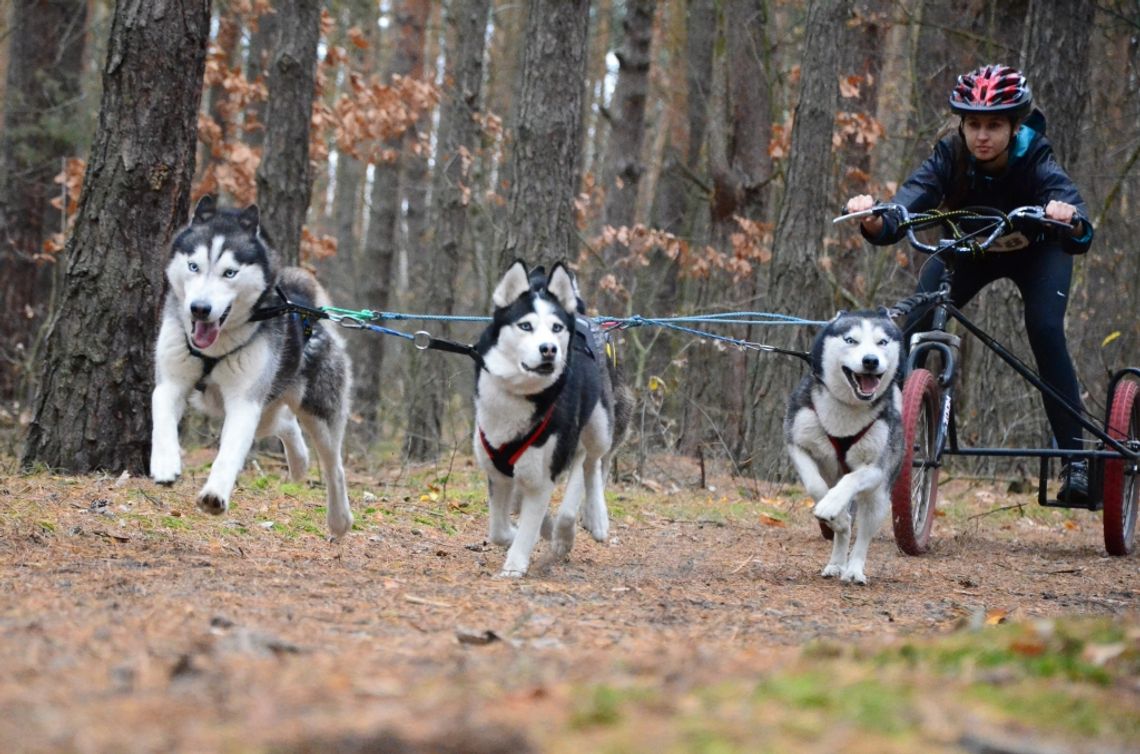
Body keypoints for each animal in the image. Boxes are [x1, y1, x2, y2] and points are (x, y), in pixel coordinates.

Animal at [150, 193, 351, 536]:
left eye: (230, 273)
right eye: (193, 266)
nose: (200, 308)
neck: (214, 349)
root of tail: (305, 304)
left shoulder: (244, 403)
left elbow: (229, 452)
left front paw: (215, 494)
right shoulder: (172, 382)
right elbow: (161, 412)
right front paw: (165, 463)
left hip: (318, 412)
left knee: (334, 467)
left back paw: (339, 520)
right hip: (267, 408)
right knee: (285, 423)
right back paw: (299, 463)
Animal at [471, 260, 633, 577]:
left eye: (556, 328)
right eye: (525, 325)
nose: (549, 349)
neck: (522, 395)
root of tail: (582, 319)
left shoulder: (548, 469)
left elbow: (537, 521)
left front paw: (516, 564)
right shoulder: (496, 472)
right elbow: (500, 530)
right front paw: (534, 531)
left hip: (598, 426)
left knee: (593, 463)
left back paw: (593, 518)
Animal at [779, 307, 902, 584]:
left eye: (882, 342)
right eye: (851, 340)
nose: (870, 360)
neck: (847, 408)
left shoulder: (876, 469)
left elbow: (852, 479)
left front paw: (831, 506)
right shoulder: (797, 445)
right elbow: (815, 486)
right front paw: (835, 516)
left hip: (878, 499)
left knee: (863, 535)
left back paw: (854, 570)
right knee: (844, 530)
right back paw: (836, 561)